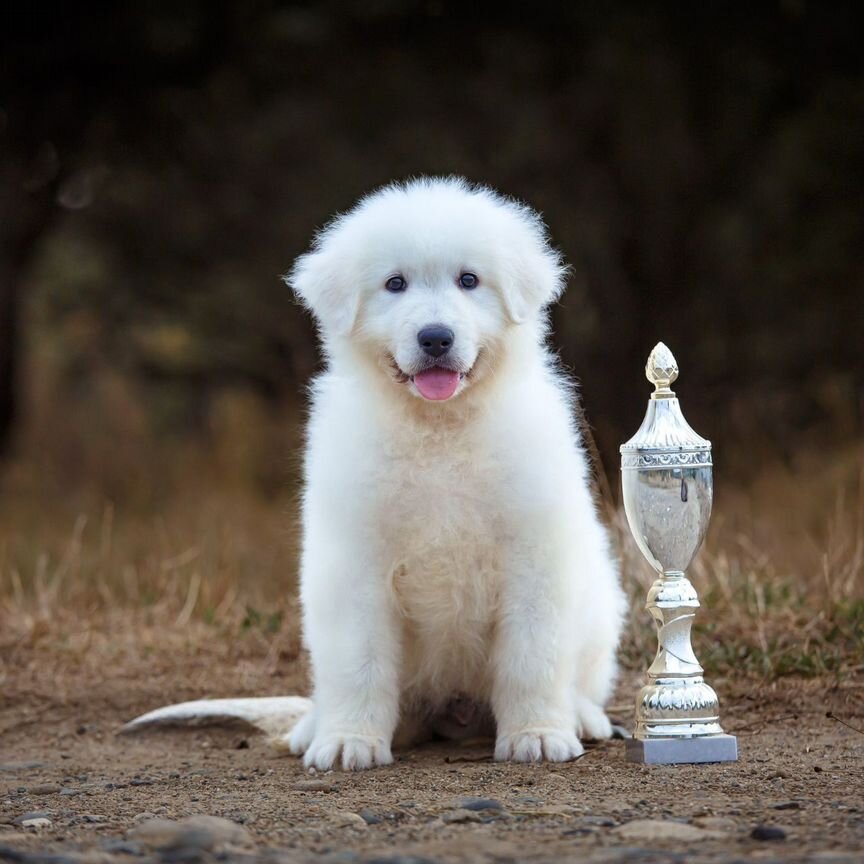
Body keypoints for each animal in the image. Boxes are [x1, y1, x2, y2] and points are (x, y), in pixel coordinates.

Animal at [286, 177, 624, 768]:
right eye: (394, 284)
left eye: (469, 280)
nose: (436, 337)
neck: (440, 429)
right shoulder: (354, 561)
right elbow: (359, 663)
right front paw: (350, 740)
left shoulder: (534, 552)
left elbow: (532, 656)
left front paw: (537, 734)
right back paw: (317, 726)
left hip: (601, 602)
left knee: (582, 677)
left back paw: (581, 717)